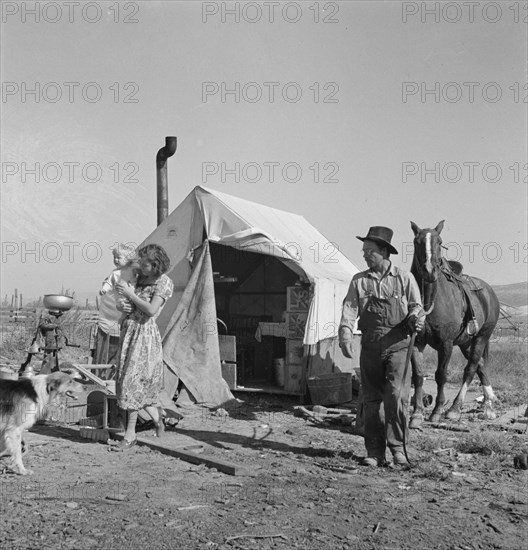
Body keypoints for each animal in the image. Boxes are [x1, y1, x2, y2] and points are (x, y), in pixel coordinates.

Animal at [408, 221, 500, 426]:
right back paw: (488, 406)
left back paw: (454, 409)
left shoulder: (446, 344)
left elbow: (441, 375)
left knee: (471, 368)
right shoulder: (417, 341)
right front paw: (417, 414)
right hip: (466, 342)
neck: (430, 300)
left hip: (481, 337)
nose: (429, 270)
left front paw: (437, 411)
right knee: (481, 365)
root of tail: (489, 292)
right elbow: (418, 376)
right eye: (417, 242)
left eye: (440, 241)